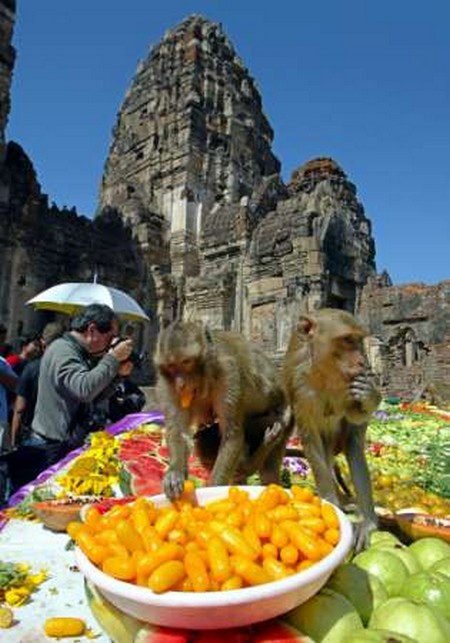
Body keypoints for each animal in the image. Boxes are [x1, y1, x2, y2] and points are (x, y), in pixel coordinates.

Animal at [155, 320, 292, 498]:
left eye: (186, 362)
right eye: (171, 366)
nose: (181, 384)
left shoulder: (228, 372)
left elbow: (232, 435)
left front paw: (213, 489)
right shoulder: (167, 386)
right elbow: (178, 431)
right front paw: (174, 473)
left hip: (287, 416)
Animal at [284, 310, 382, 552]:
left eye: (358, 340)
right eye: (347, 340)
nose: (362, 361)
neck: (326, 370)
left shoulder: (352, 381)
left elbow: (356, 415)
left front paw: (370, 395)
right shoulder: (299, 385)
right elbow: (310, 437)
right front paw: (330, 505)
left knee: (354, 447)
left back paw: (368, 522)